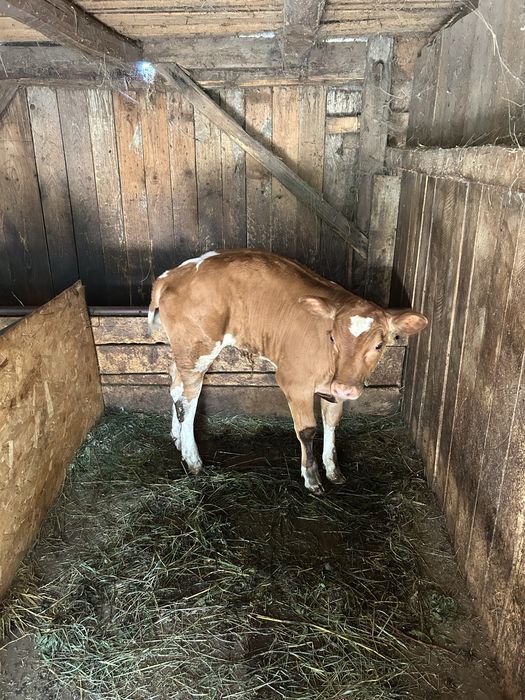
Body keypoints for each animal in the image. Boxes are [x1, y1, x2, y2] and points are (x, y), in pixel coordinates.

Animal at [148, 249, 428, 495]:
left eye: (379, 345)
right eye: (333, 337)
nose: (346, 388)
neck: (329, 366)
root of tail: (172, 274)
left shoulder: (333, 388)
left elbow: (332, 422)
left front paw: (333, 470)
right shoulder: (294, 382)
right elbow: (307, 430)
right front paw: (312, 478)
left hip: (183, 350)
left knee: (175, 386)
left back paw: (177, 439)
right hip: (198, 349)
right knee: (188, 399)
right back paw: (193, 459)